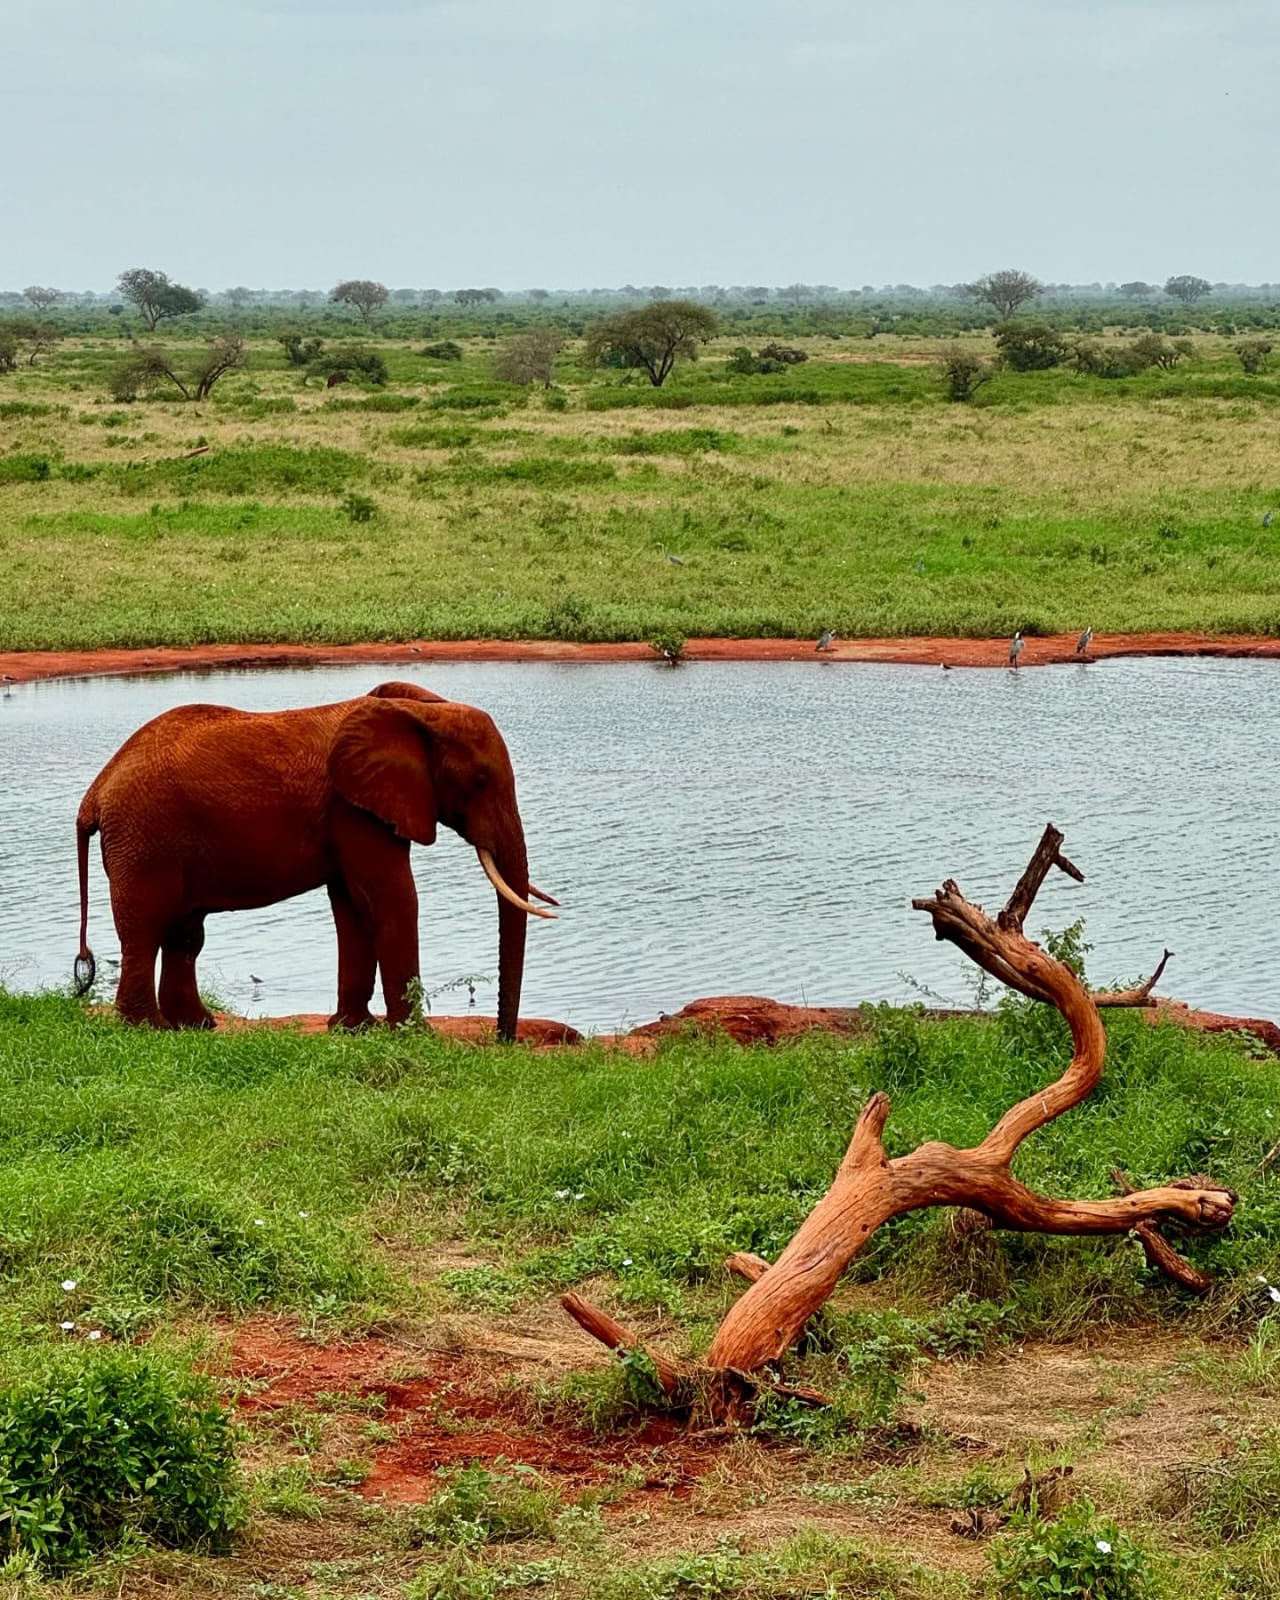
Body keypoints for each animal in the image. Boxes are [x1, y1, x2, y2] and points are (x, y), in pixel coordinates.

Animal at [73, 680, 556, 1040]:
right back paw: (149, 1029)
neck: (418, 713)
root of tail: (96, 791)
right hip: (144, 841)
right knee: (146, 928)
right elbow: (392, 899)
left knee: (184, 932)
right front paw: (415, 1036)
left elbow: (352, 907)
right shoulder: (354, 808)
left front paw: (354, 1030)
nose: (504, 1039)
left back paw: (194, 1027)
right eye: (480, 781)